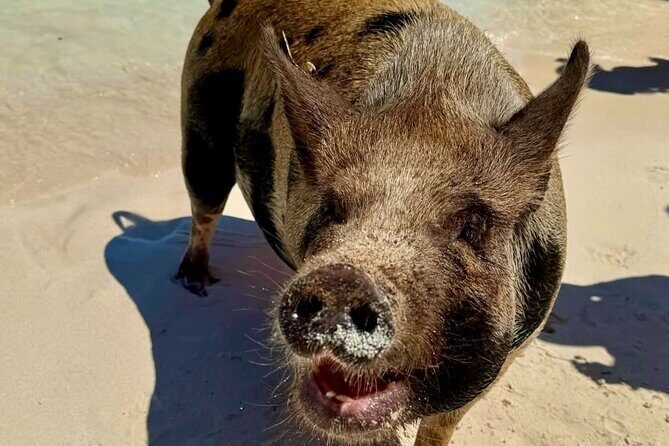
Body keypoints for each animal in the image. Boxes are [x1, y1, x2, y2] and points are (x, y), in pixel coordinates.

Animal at [174, 0, 590, 444]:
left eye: (473, 225)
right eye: (332, 208)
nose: (343, 279)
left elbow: (441, 426)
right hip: (199, 123)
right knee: (204, 205)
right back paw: (196, 283)